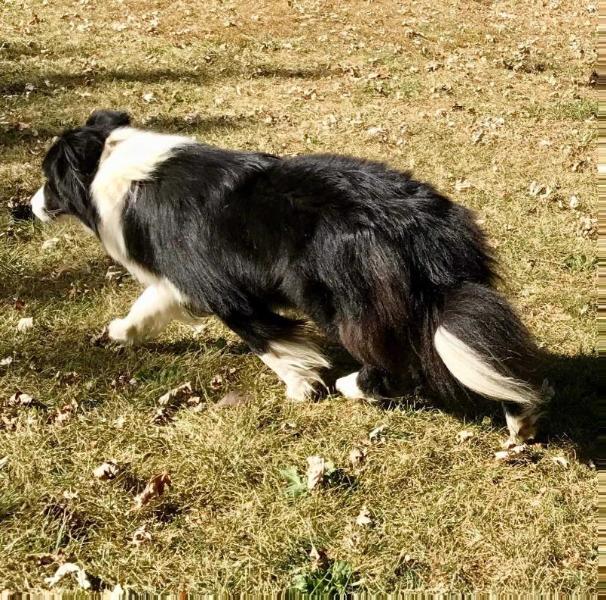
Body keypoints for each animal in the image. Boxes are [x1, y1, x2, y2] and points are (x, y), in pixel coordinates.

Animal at [29, 110, 548, 442]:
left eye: (49, 180)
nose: (25, 207)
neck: (112, 166)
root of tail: (416, 225)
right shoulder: (182, 278)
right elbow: (147, 306)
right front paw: (119, 332)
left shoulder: (223, 289)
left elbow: (270, 342)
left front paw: (301, 386)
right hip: (450, 292)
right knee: (485, 342)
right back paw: (521, 420)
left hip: (343, 298)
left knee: (395, 361)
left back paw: (352, 386)